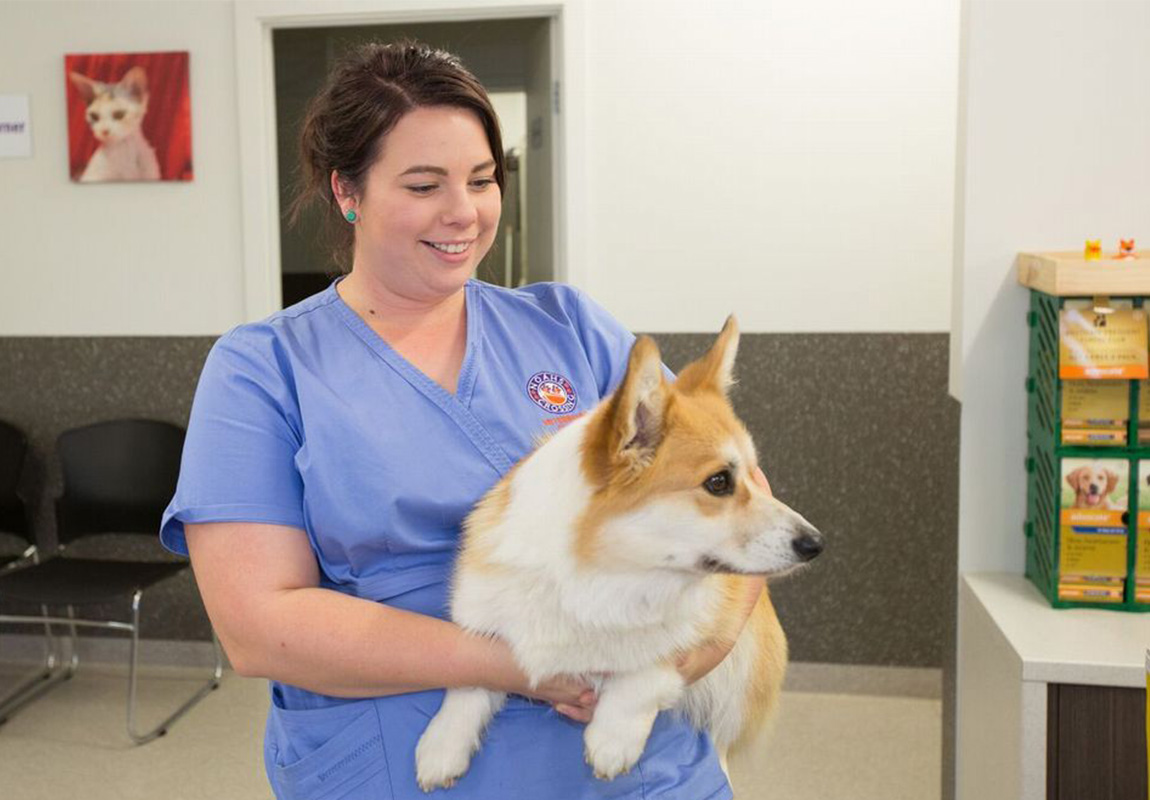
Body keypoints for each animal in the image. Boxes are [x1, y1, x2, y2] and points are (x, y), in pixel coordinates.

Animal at [418, 314, 823, 790]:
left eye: (755, 477)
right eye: (719, 482)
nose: (815, 543)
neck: (604, 575)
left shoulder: (703, 625)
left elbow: (648, 669)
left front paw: (612, 739)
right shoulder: (485, 613)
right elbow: (465, 688)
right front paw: (442, 746)